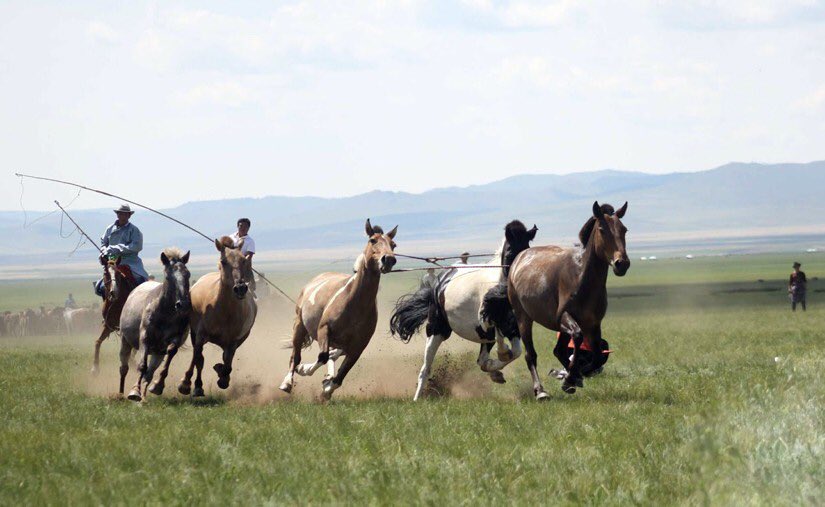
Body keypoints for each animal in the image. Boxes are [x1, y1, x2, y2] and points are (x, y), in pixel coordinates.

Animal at [117, 248, 192, 402]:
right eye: (168, 277)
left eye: (187, 274)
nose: (183, 304)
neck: (165, 313)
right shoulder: (145, 338)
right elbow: (142, 366)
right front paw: (134, 391)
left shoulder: (173, 339)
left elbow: (170, 353)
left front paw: (157, 386)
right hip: (125, 341)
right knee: (124, 368)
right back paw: (121, 394)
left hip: (157, 353)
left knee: (149, 373)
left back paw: (144, 397)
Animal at [178, 236, 256, 398]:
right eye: (223, 261)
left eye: (243, 260)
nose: (240, 288)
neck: (224, 310)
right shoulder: (200, 335)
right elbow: (198, 358)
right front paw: (186, 384)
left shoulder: (233, 341)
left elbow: (227, 362)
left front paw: (222, 376)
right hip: (195, 333)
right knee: (199, 358)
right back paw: (197, 386)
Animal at [278, 220, 398, 402]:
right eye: (373, 240)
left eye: (393, 244)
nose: (389, 259)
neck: (354, 303)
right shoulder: (324, 330)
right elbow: (322, 356)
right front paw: (305, 370)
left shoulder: (358, 346)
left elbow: (340, 375)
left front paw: (327, 388)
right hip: (300, 326)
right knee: (296, 356)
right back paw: (287, 382)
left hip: (340, 344)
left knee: (332, 355)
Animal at [390, 220, 536, 402]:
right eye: (509, 253)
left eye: (526, 251)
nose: (518, 278)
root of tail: (440, 281)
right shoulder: (486, 321)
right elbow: (501, 340)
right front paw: (502, 354)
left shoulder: (513, 327)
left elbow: (515, 352)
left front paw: (498, 367)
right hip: (437, 330)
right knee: (425, 368)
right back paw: (417, 398)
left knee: (482, 359)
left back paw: (494, 372)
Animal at [502, 202, 632, 400]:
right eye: (602, 230)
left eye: (624, 229)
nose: (621, 263)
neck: (581, 278)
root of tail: (519, 257)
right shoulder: (564, 316)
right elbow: (578, 338)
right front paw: (570, 377)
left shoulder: (593, 323)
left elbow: (596, 356)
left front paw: (573, 377)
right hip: (523, 318)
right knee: (530, 355)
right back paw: (541, 391)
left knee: (559, 350)